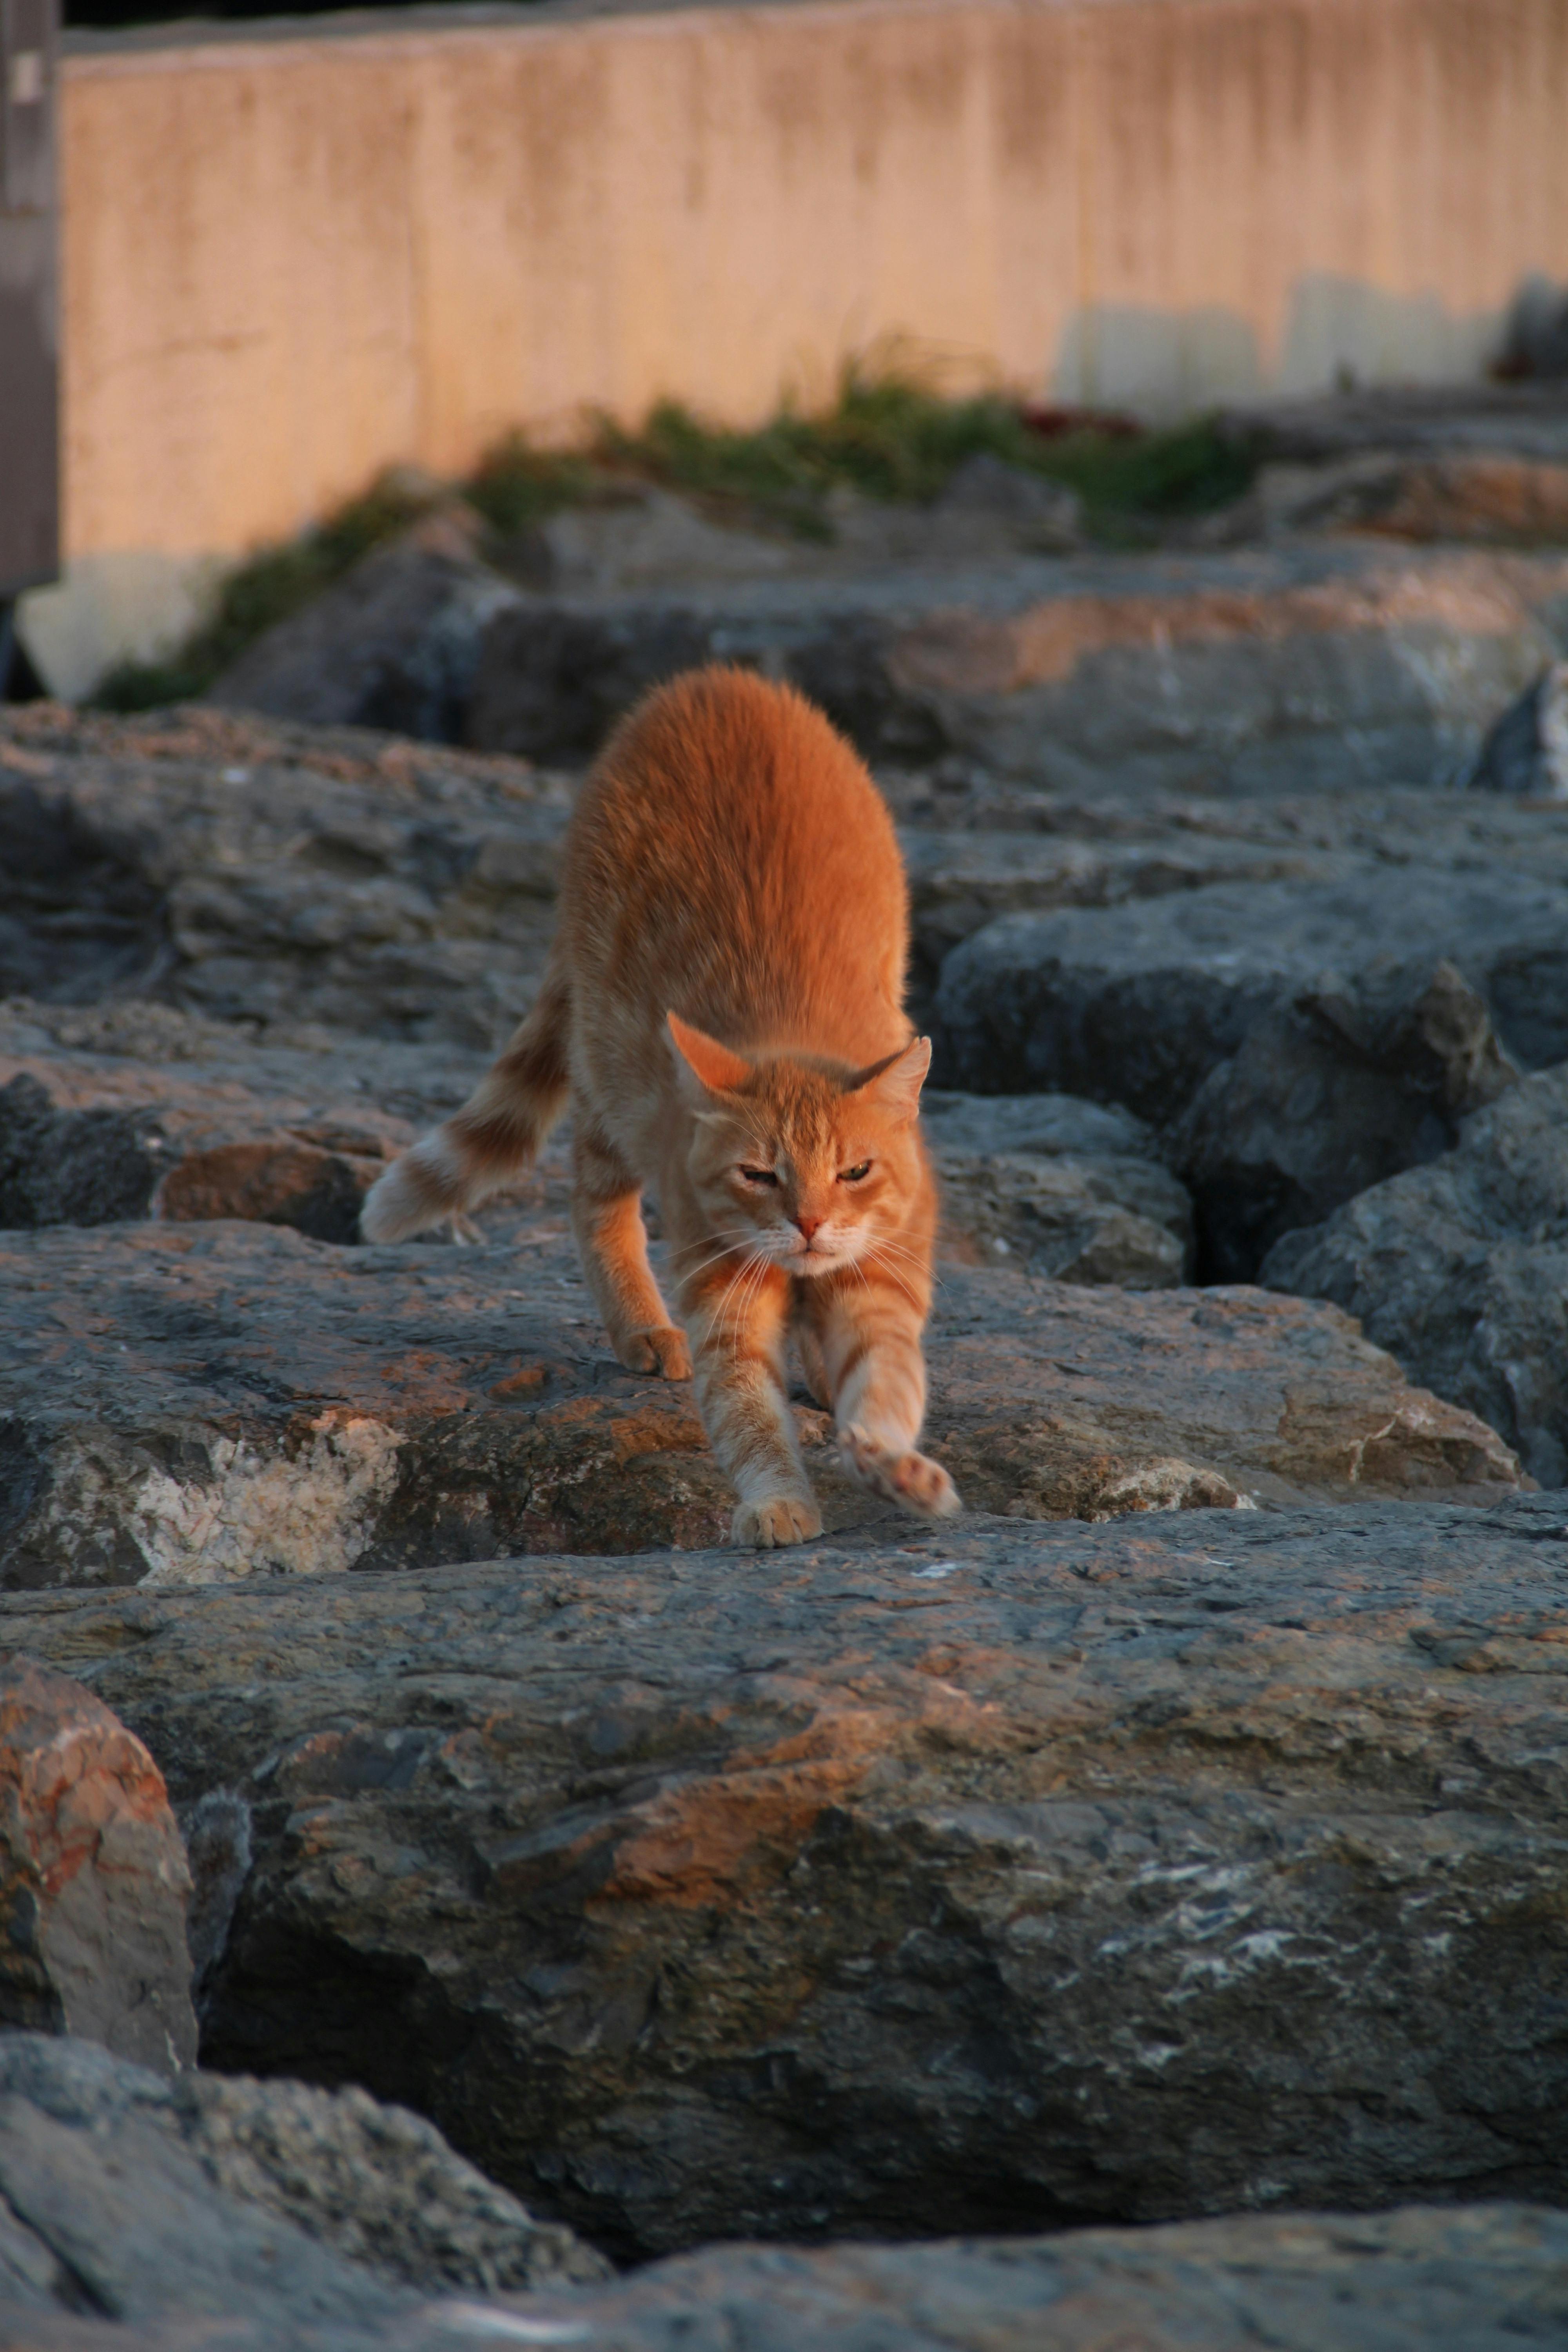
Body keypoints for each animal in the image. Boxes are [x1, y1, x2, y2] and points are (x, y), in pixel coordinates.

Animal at [364, 663, 964, 1543]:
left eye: (855, 1172)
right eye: (758, 1175)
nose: (810, 1225)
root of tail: (715, 678)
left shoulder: (881, 1286)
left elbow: (884, 1384)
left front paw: (894, 1467)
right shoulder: (724, 1297)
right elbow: (747, 1415)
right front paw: (778, 1501)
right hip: (612, 1085)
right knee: (595, 1203)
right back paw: (642, 1326)